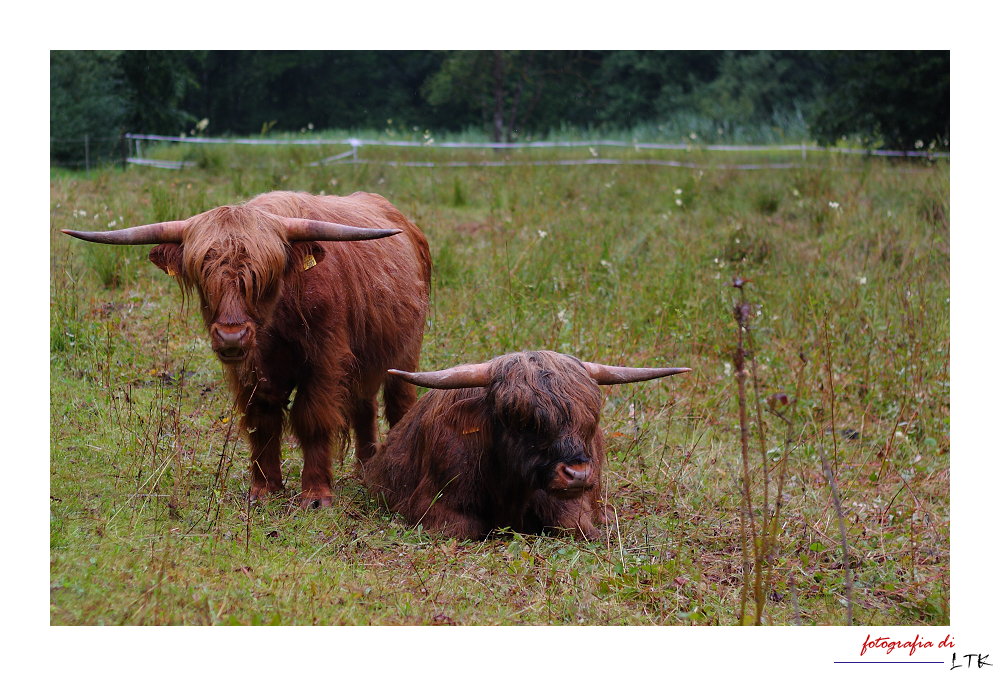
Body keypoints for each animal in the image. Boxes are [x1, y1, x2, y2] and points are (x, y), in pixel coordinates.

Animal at [62, 190, 430, 508]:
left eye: (263, 279)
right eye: (204, 278)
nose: (231, 337)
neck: (276, 325)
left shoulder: (325, 362)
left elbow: (312, 419)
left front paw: (315, 495)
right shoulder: (250, 373)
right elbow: (261, 423)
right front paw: (264, 490)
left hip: (405, 352)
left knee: (397, 403)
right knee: (364, 406)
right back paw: (365, 469)